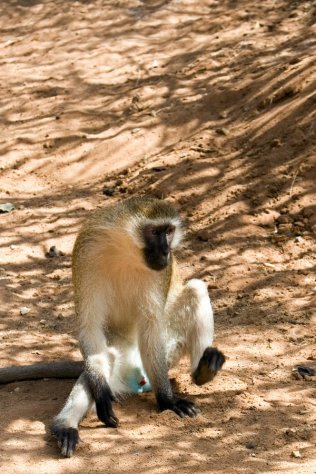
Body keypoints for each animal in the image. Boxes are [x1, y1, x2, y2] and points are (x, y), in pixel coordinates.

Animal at [51, 196, 225, 456]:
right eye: (154, 232)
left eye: (169, 231)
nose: (166, 251)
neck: (126, 250)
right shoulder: (86, 250)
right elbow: (90, 326)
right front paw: (101, 394)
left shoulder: (161, 273)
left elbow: (151, 327)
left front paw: (168, 400)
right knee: (105, 358)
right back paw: (65, 426)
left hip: (169, 351)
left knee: (195, 289)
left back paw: (203, 370)